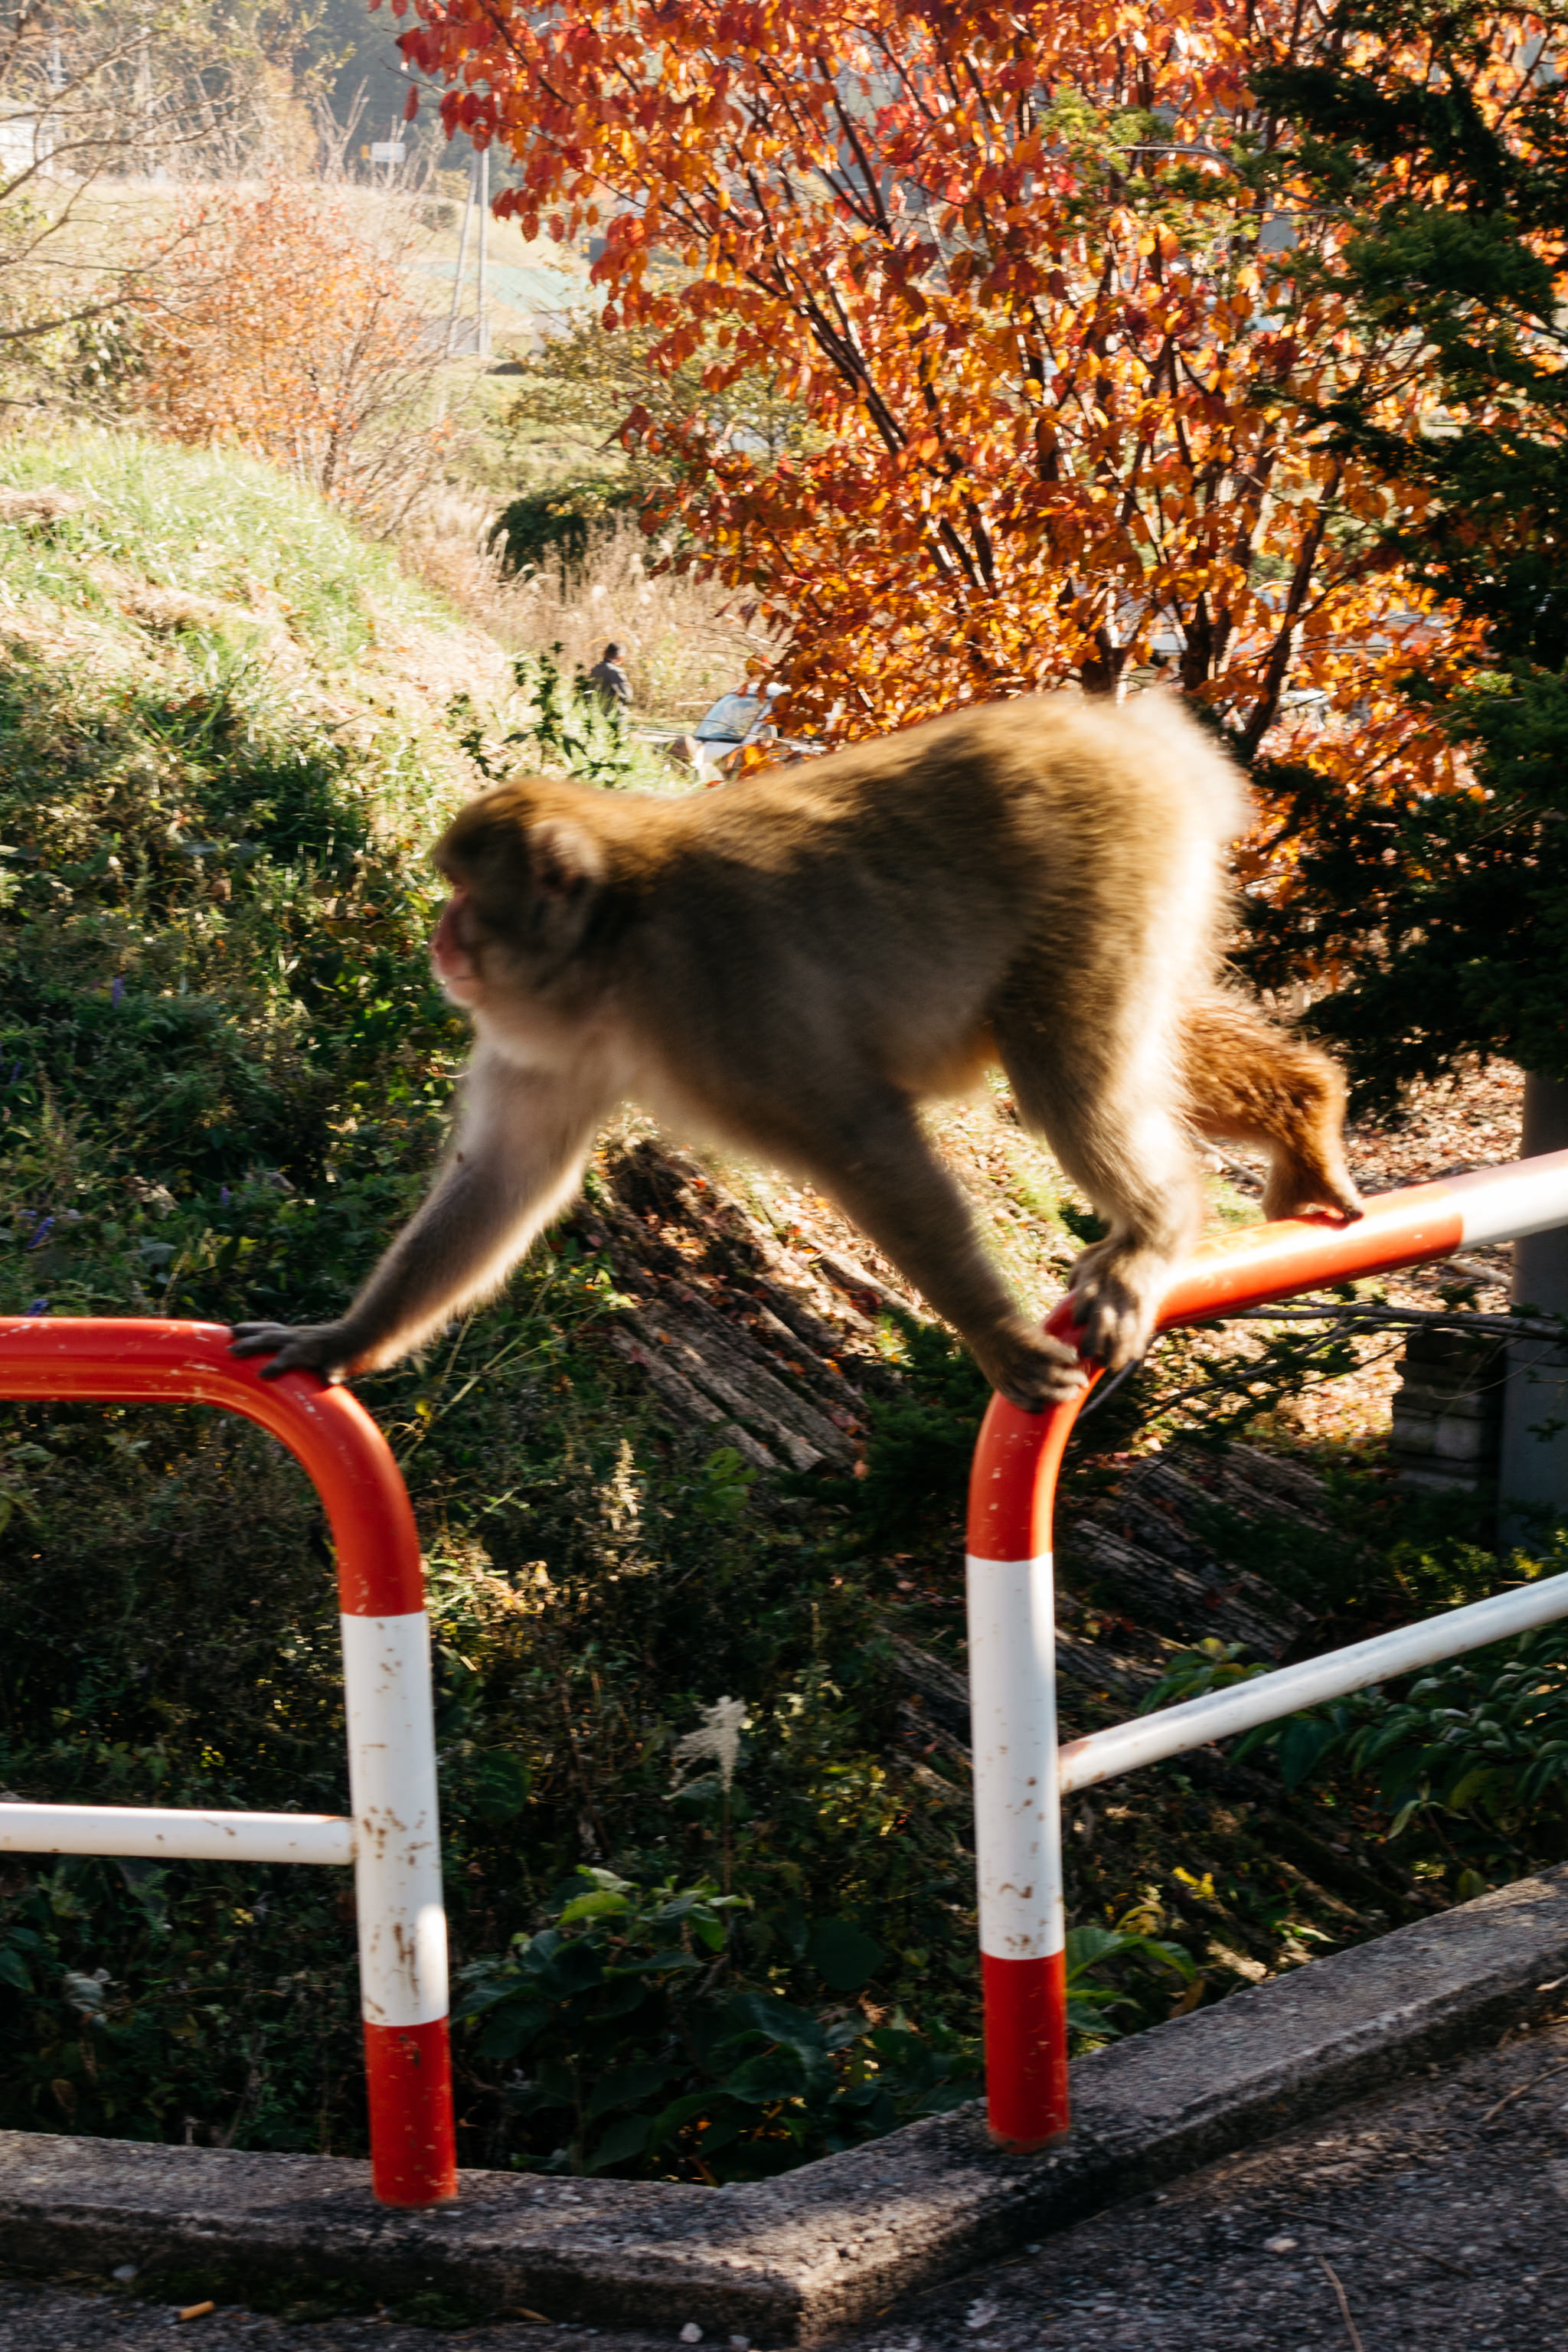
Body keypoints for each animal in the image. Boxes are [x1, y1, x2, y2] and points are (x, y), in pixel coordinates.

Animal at [230, 693, 1362, 1413]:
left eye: (469, 893)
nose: (440, 938)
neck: (615, 952)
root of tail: (1136, 730)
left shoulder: (723, 998)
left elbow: (864, 1139)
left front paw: (994, 1339)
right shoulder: (545, 1043)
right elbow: (501, 1178)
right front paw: (338, 1341)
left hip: (1111, 864)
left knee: (1065, 1066)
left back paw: (1157, 1231)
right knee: (1117, 1039)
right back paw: (1304, 1115)